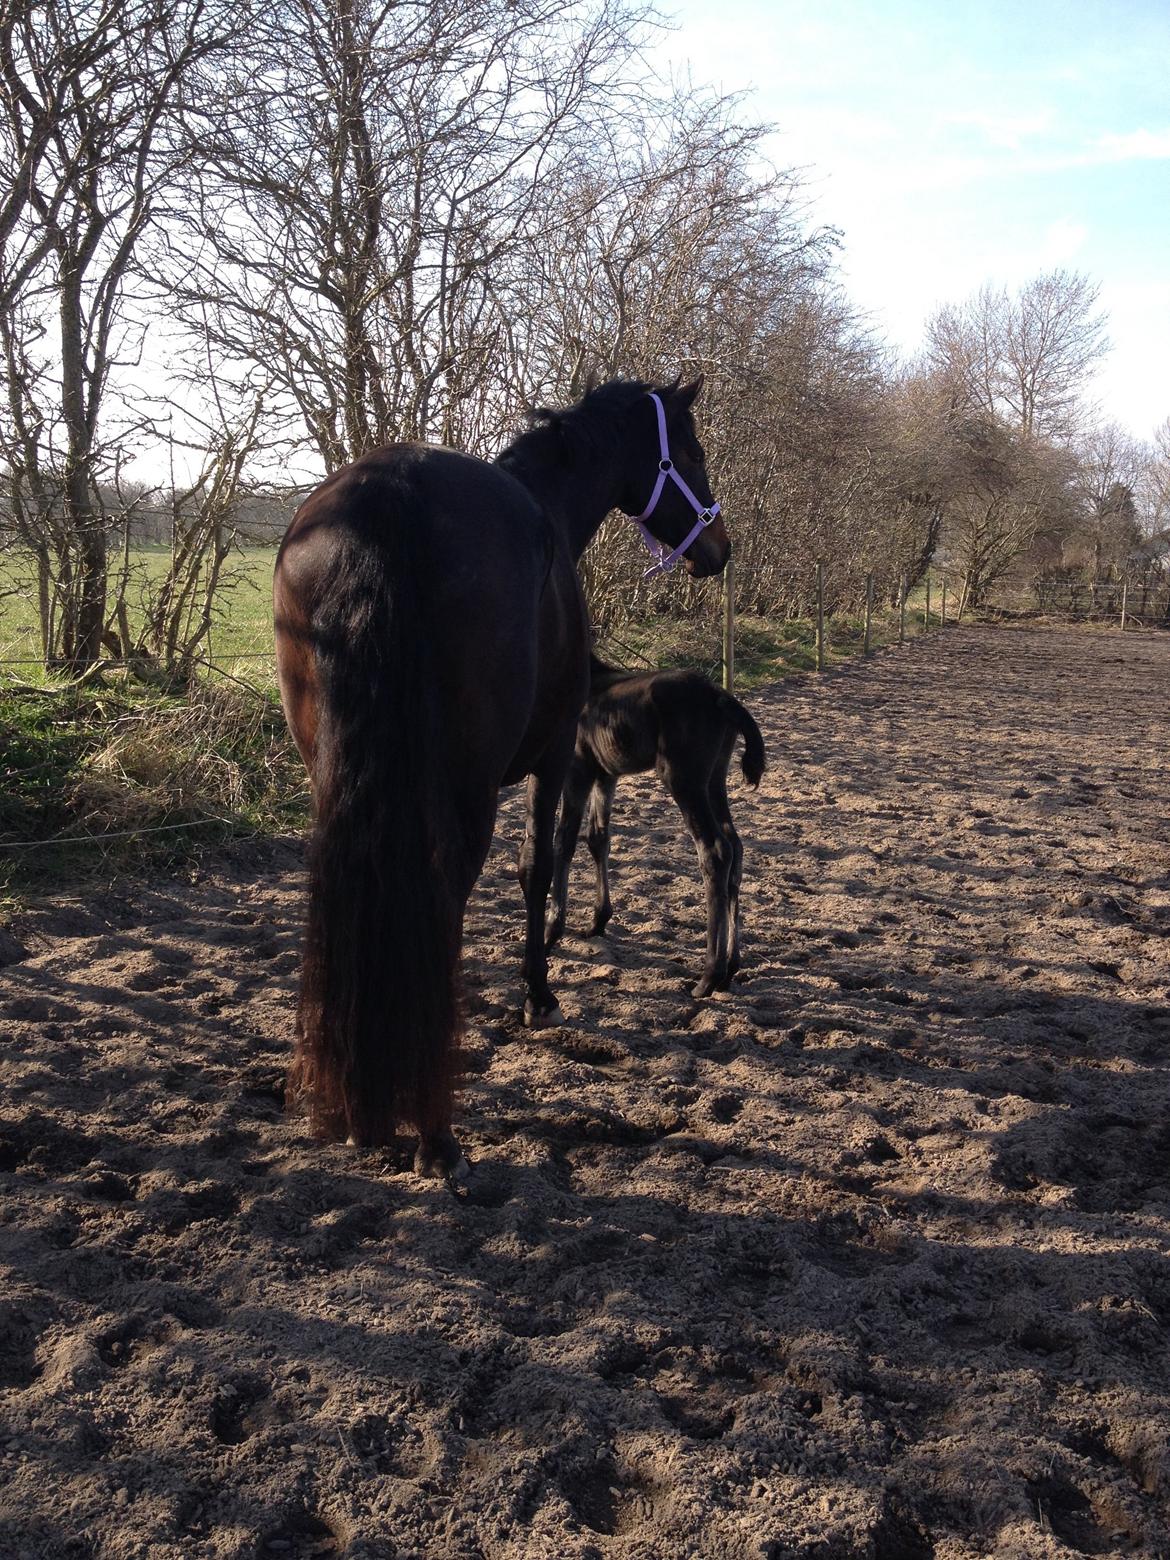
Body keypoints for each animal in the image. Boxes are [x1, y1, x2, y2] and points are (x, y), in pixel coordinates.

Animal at [277, 380, 733, 1173]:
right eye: (695, 451)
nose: (719, 547)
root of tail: (390, 493)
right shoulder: (549, 758)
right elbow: (537, 864)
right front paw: (537, 993)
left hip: (332, 769)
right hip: (468, 779)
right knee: (445, 887)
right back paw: (434, 1133)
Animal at [549, 658, 770, 998]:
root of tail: (720, 695)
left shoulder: (577, 769)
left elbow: (565, 839)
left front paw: (551, 930)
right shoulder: (605, 774)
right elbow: (598, 838)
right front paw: (598, 921)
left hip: (683, 780)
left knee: (715, 851)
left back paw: (709, 975)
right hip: (713, 780)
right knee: (735, 847)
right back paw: (731, 968)